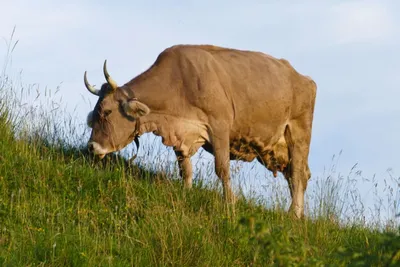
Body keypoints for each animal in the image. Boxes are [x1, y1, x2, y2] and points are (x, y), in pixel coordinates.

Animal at [83, 44, 316, 220]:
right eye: (94, 113)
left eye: (107, 111)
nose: (92, 147)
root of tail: (303, 78)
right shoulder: (180, 135)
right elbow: (185, 169)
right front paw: (186, 193)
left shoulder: (220, 126)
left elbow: (222, 169)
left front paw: (229, 203)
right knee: (297, 175)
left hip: (298, 133)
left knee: (298, 174)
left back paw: (294, 214)